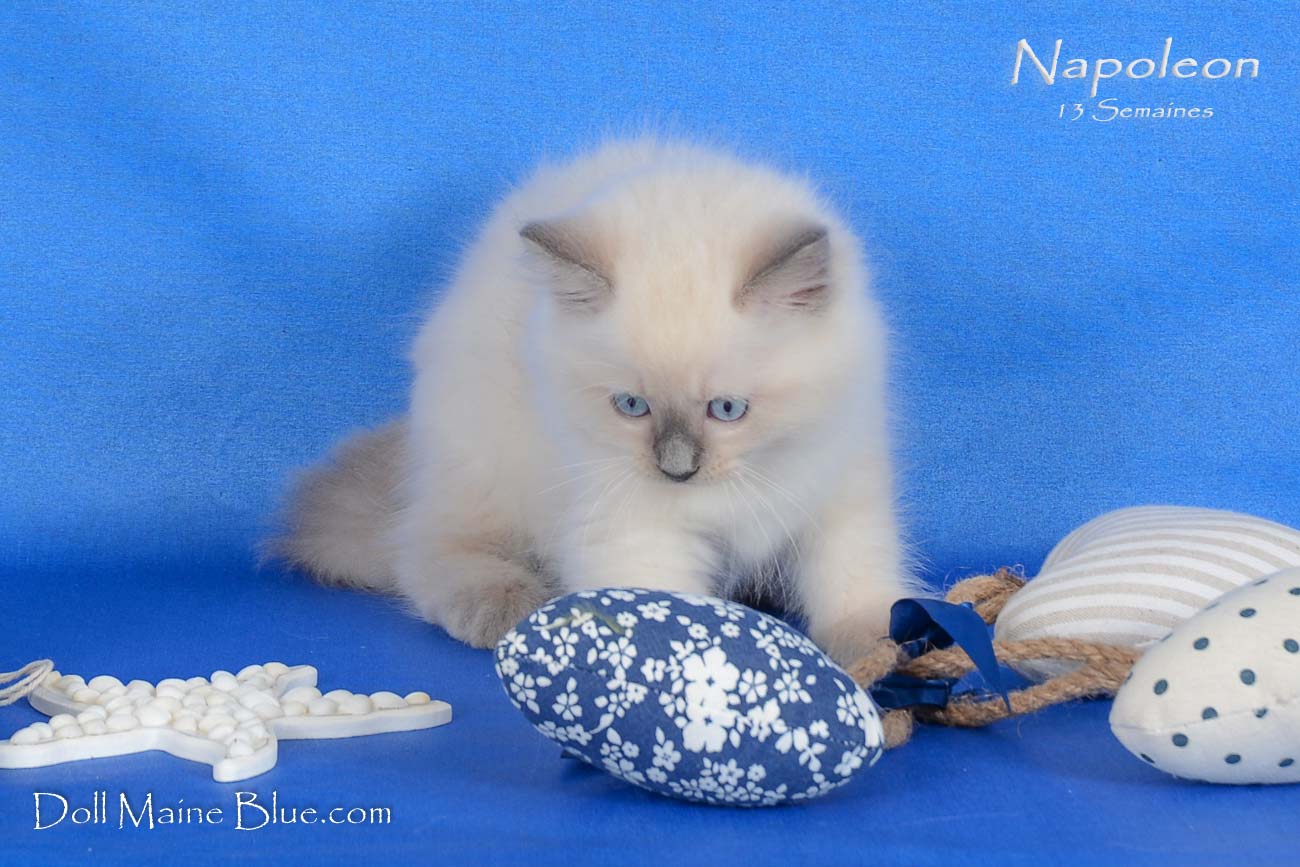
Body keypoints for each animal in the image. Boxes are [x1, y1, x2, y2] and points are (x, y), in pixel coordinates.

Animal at [280, 138, 918, 665]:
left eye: (727, 410)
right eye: (631, 406)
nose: (677, 470)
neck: (735, 489)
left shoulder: (841, 490)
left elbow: (856, 585)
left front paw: (876, 653)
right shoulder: (632, 525)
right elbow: (665, 609)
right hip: (482, 472)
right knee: (426, 551)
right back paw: (502, 605)